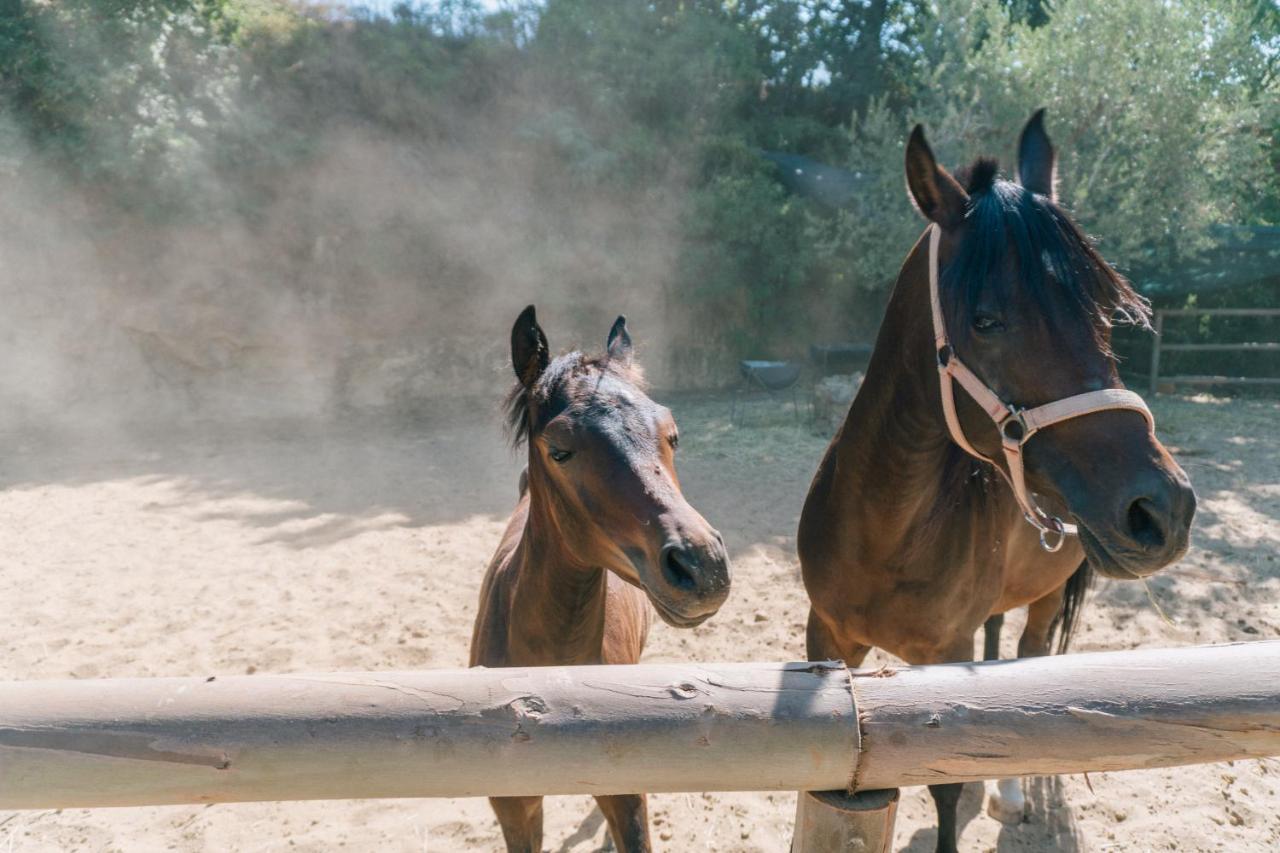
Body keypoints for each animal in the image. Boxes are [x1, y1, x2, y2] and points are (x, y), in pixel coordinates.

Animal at [798, 109, 1198, 845]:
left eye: (1103, 314)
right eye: (987, 319)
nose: (1164, 509)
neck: (883, 533)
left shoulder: (943, 658)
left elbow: (947, 788)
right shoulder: (828, 638)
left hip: (1047, 595)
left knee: (1031, 658)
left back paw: (1011, 793)